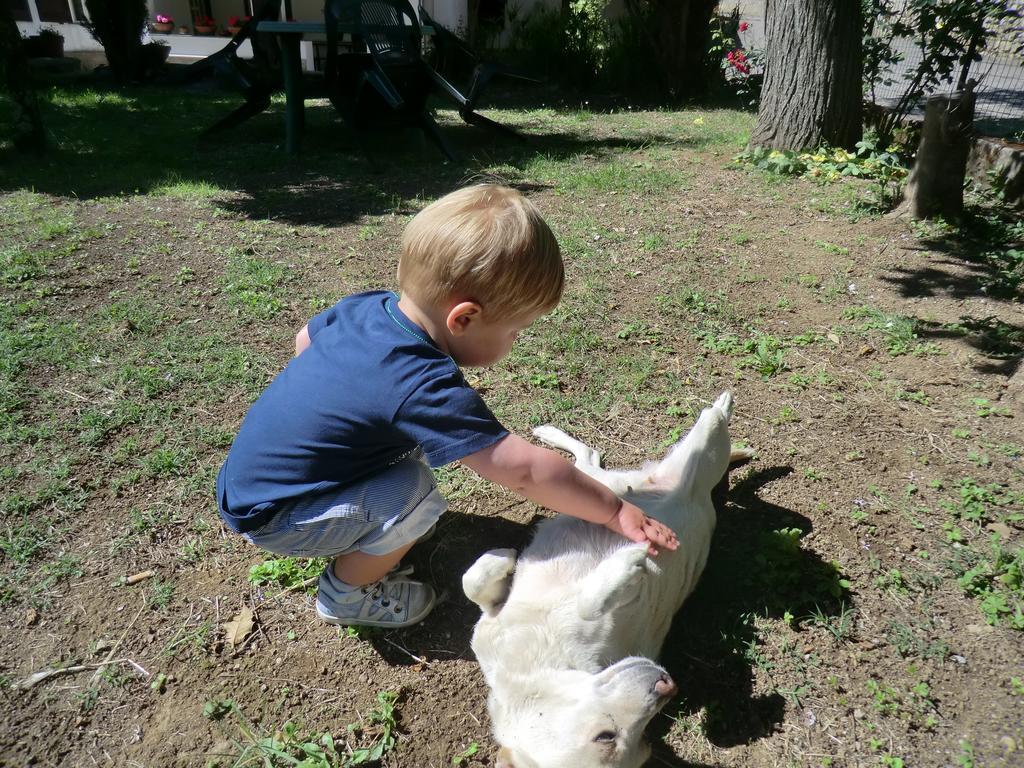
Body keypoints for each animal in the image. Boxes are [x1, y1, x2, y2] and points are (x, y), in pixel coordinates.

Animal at [464, 393, 745, 765]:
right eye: (609, 737)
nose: (667, 683)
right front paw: (627, 564)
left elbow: (473, 582)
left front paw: (504, 557)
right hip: (693, 469)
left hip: (597, 485)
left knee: (589, 456)